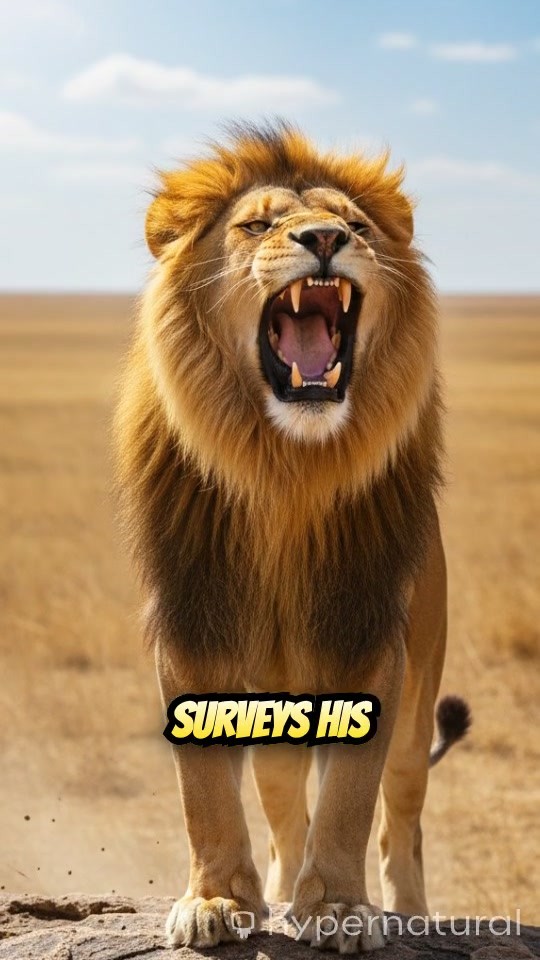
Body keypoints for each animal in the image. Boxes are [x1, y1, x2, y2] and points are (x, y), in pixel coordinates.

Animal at [114, 121, 470, 953]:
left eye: (358, 226)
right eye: (255, 225)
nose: (325, 239)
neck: (286, 474)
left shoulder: (368, 636)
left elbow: (350, 798)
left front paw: (337, 908)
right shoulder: (192, 628)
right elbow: (205, 793)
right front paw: (218, 900)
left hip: (421, 695)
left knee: (402, 812)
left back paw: (409, 911)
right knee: (282, 808)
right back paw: (276, 890)